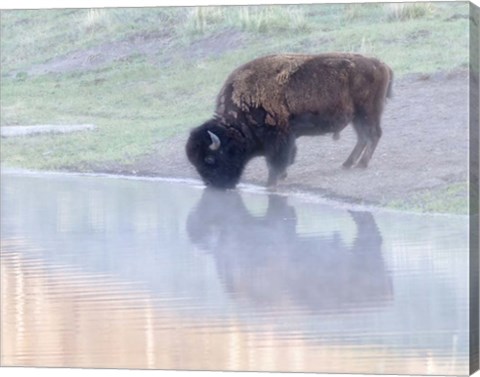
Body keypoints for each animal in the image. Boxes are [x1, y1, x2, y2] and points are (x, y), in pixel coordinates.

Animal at [186, 53, 392, 188]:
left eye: (209, 158)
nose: (213, 184)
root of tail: (380, 64)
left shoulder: (278, 136)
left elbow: (276, 160)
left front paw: (271, 182)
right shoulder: (288, 135)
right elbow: (287, 156)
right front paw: (282, 176)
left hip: (367, 112)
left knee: (373, 135)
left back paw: (361, 164)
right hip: (358, 117)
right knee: (363, 137)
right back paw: (348, 164)